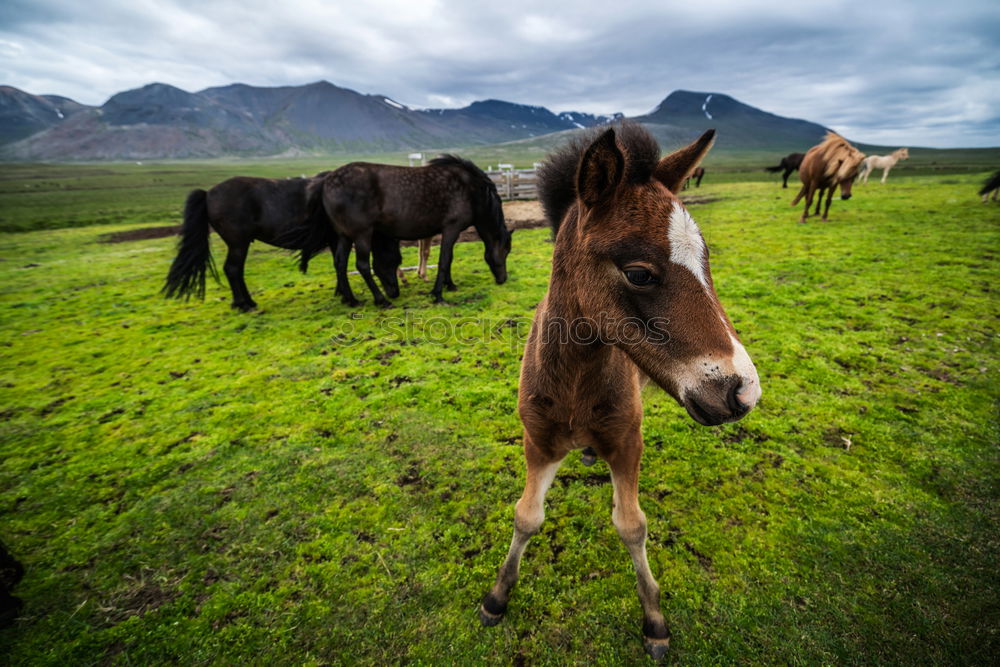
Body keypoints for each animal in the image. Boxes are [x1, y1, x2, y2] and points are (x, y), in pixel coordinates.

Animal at [162, 175, 400, 310]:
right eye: (393, 261)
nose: (395, 292)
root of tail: (208, 193)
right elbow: (339, 264)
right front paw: (344, 293)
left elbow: (337, 264)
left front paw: (342, 293)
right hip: (238, 243)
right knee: (232, 269)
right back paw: (243, 305)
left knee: (236, 270)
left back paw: (248, 301)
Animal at [312, 155, 516, 306]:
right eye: (506, 251)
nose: (503, 279)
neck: (470, 189)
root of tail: (326, 181)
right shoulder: (452, 228)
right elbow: (445, 259)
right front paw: (438, 294)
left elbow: (447, 259)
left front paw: (450, 285)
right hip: (362, 234)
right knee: (362, 265)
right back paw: (381, 300)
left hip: (344, 236)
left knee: (340, 263)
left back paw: (351, 300)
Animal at [480, 125, 760, 664]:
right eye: (638, 273)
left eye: (707, 261)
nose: (742, 391)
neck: (574, 384)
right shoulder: (537, 443)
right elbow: (526, 517)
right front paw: (497, 597)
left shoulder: (629, 442)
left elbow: (632, 525)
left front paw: (654, 620)